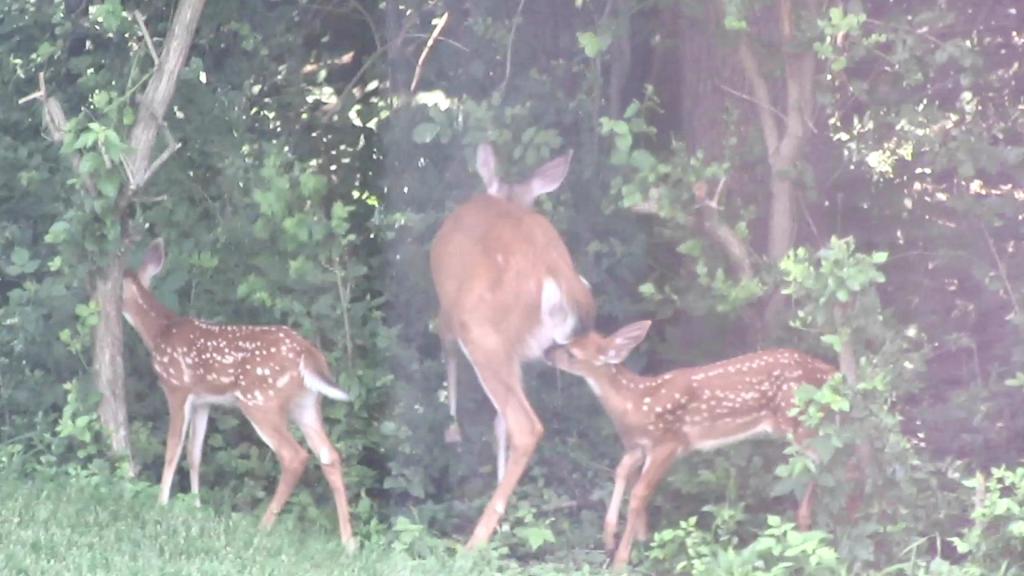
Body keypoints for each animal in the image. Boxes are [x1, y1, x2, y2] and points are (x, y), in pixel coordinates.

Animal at [121, 238, 356, 550]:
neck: (160, 331)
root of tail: (309, 353)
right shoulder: (204, 401)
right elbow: (194, 454)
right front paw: (196, 507)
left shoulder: (177, 388)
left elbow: (172, 449)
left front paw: (161, 505)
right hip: (306, 403)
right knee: (329, 455)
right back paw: (349, 542)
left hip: (260, 400)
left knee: (294, 456)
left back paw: (263, 528)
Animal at [430, 142, 596, 548]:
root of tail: (557, 278)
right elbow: (497, 423)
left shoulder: (447, 312)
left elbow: (448, 357)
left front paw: (452, 430)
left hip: (482, 333)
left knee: (526, 425)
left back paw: (475, 541)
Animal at [546, 320, 843, 569]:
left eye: (571, 353)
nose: (547, 353)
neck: (635, 401)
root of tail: (829, 372)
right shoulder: (639, 446)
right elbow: (621, 472)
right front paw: (621, 537)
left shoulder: (669, 442)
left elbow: (640, 493)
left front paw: (622, 558)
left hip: (798, 421)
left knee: (822, 459)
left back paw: (806, 524)